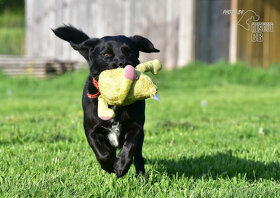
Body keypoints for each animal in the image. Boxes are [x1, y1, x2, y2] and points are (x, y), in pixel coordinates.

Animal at [51, 25, 159, 178]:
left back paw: (141, 176)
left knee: (138, 156)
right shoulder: (91, 130)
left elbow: (129, 147)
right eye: (106, 54)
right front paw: (109, 165)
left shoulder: (136, 126)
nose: (122, 63)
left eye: (129, 51)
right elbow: (102, 153)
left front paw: (121, 166)